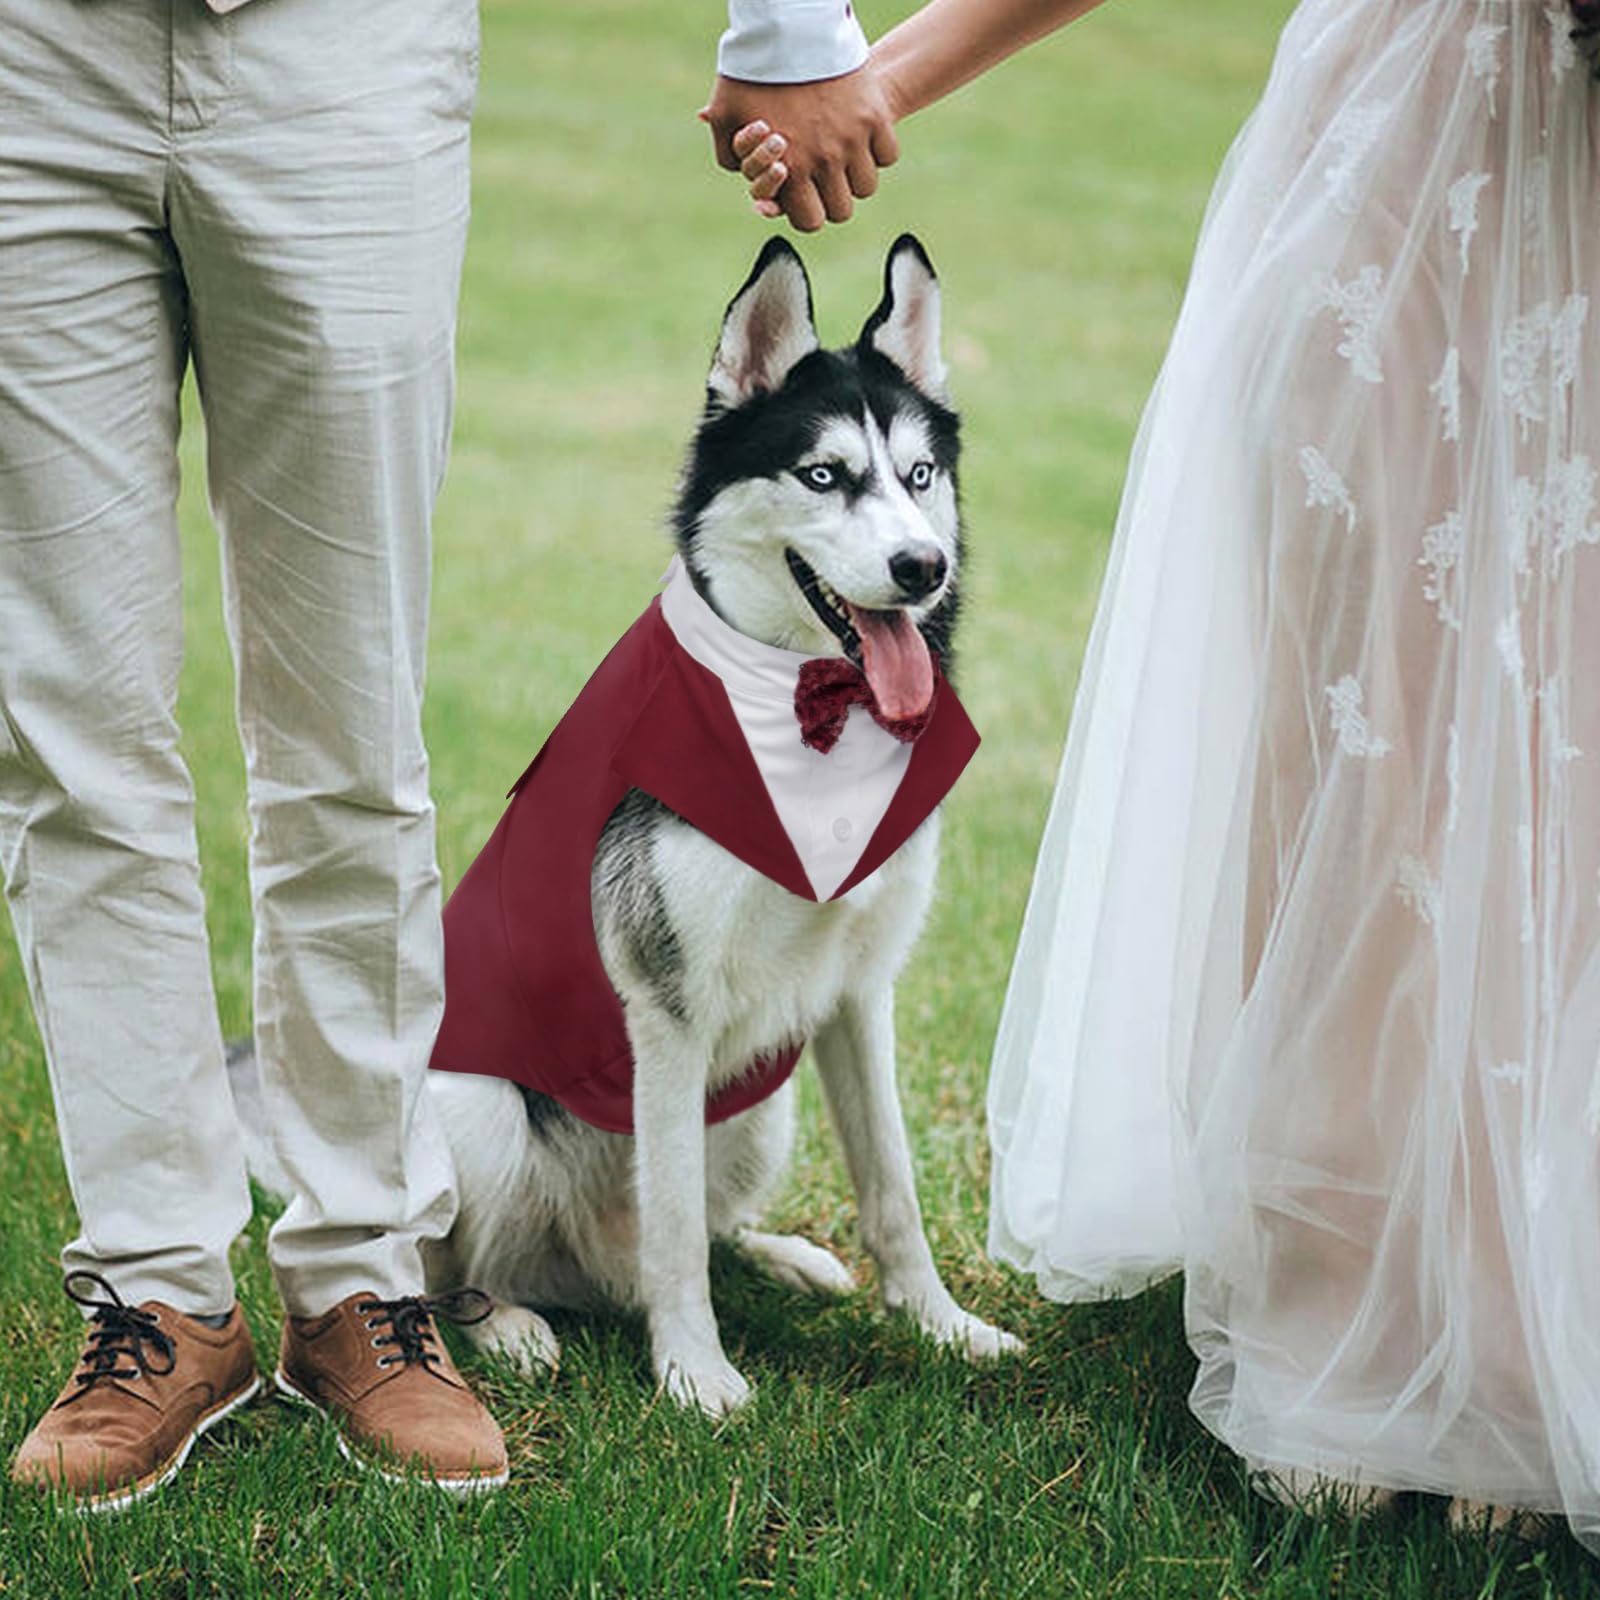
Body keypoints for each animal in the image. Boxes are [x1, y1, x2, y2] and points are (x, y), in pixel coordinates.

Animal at [235, 233, 1017, 1414]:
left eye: (919, 478)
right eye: (823, 476)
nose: (922, 567)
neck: (811, 719)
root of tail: (583, 1269)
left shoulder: (855, 992)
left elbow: (891, 1188)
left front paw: (941, 1326)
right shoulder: (666, 1012)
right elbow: (674, 1233)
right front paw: (695, 1375)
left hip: (760, 1105)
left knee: (693, 1233)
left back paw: (786, 1258)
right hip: (481, 1109)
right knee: (454, 1263)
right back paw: (510, 1327)